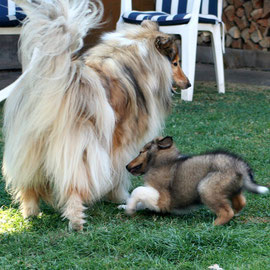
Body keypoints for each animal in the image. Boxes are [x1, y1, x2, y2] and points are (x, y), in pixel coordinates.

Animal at [2, 0, 190, 230]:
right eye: (175, 62)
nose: (189, 83)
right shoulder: (121, 142)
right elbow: (120, 171)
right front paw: (120, 197)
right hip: (79, 148)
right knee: (73, 186)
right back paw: (77, 221)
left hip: (30, 147)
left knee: (28, 184)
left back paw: (30, 214)